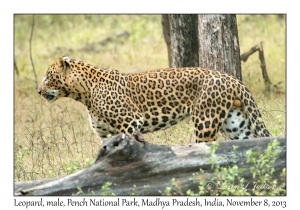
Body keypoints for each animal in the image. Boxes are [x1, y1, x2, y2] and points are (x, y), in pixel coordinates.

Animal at [37, 55, 272, 143]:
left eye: (48, 76)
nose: (38, 91)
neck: (84, 93)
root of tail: (232, 78)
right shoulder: (105, 134)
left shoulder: (130, 123)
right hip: (236, 124)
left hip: (205, 122)